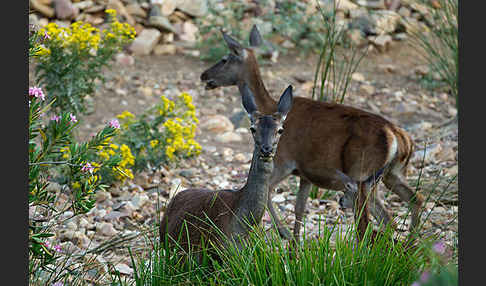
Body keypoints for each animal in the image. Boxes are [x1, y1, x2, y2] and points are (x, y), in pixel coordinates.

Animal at [199, 25, 424, 242]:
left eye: (224, 59)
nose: (204, 75)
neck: (269, 106)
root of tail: (399, 138)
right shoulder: (306, 174)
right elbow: (299, 208)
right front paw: (295, 243)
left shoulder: (285, 161)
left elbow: (270, 192)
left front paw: (285, 233)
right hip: (392, 174)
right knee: (410, 204)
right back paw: (410, 244)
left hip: (361, 174)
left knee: (370, 222)